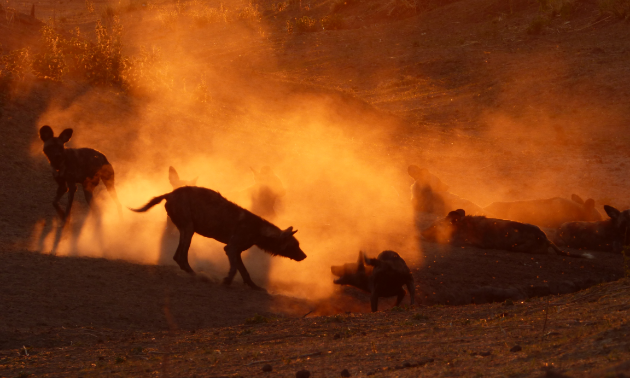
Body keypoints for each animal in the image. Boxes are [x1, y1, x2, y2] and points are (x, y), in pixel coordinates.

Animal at [132, 186, 308, 290]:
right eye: (294, 246)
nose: (305, 256)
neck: (258, 230)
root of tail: (170, 193)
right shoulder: (230, 248)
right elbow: (235, 269)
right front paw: (227, 281)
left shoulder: (236, 251)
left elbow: (244, 271)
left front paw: (253, 286)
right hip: (189, 230)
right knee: (181, 256)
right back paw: (197, 275)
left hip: (186, 230)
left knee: (177, 256)